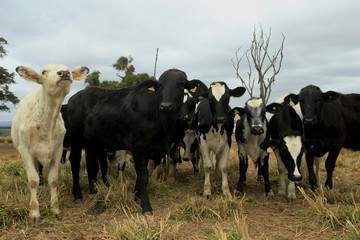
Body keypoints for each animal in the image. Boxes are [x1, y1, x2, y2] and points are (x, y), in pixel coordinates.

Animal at [11, 63, 88, 225]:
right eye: (43, 72)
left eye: (69, 69)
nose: (64, 73)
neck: (46, 121)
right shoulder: (25, 151)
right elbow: (33, 180)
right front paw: (34, 213)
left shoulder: (57, 151)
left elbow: (53, 180)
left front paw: (55, 209)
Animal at [63, 69, 207, 214]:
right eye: (160, 85)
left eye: (180, 84)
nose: (166, 106)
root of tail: (74, 98)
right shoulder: (138, 148)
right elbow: (143, 176)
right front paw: (146, 206)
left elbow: (141, 175)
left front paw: (137, 197)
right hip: (75, 138)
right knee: (75, 162)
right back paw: (78, 195)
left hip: (92, 142)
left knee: (91, 163)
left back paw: (93, 191)